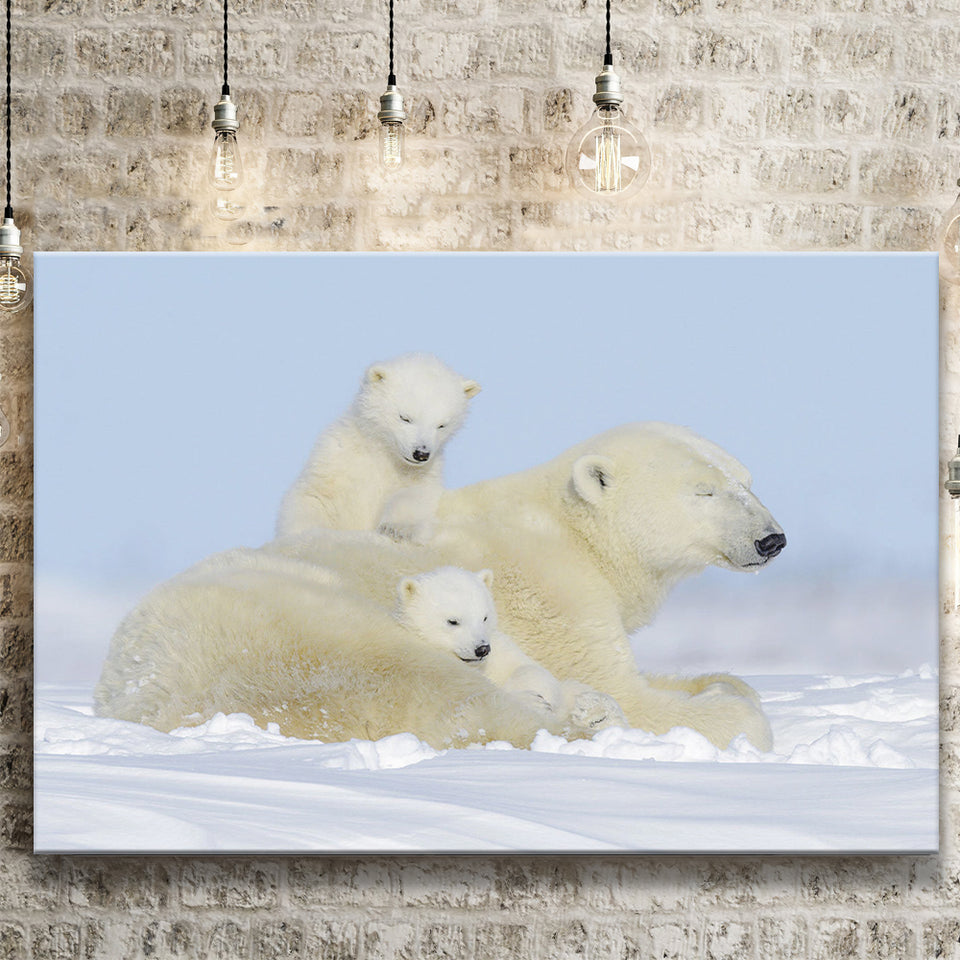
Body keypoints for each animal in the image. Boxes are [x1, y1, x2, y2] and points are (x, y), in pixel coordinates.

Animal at [276, 353, 481, 540]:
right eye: (405, 417)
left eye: (442, 425)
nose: (421, 453)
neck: (383, 452)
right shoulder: (336, 458)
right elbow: (315, 496)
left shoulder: (423, 473)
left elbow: (414, 495)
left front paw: (396, 528)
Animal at [397, 565, 628, 730]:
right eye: (452, 621)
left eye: (484, 617)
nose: (482, 649)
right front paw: (534, 702)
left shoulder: (500, 650)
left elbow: (532, 669)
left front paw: (544, 699)